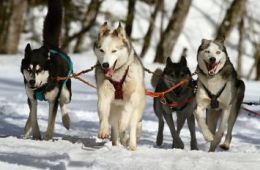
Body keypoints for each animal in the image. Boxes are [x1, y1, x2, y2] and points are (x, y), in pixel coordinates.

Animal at [20, 0, 71, 140]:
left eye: (39, 70)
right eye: (28, 69)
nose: (32, 82)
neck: (42, 87)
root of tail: (50, 46)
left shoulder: (53, 100)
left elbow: (51, 121)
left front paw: (48, 138)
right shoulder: (32, 98)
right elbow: (33, 116)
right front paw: (36, 135)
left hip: (66, 92)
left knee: (63, 102)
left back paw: (66, 121)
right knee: (31, 113)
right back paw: (27, 128)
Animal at [94, 22, 146, 150]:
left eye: (114, 51)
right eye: (102, 50)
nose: (105, 65)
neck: (117, 76)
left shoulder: (132, 97)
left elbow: (127, 110)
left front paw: (123, 123)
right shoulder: (104, 94)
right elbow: (103, 110)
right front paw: (103, 130)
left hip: (136, 112)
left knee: (131, 127)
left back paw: (131, 144)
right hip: (113, 113)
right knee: (115, 128)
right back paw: (115, 144)